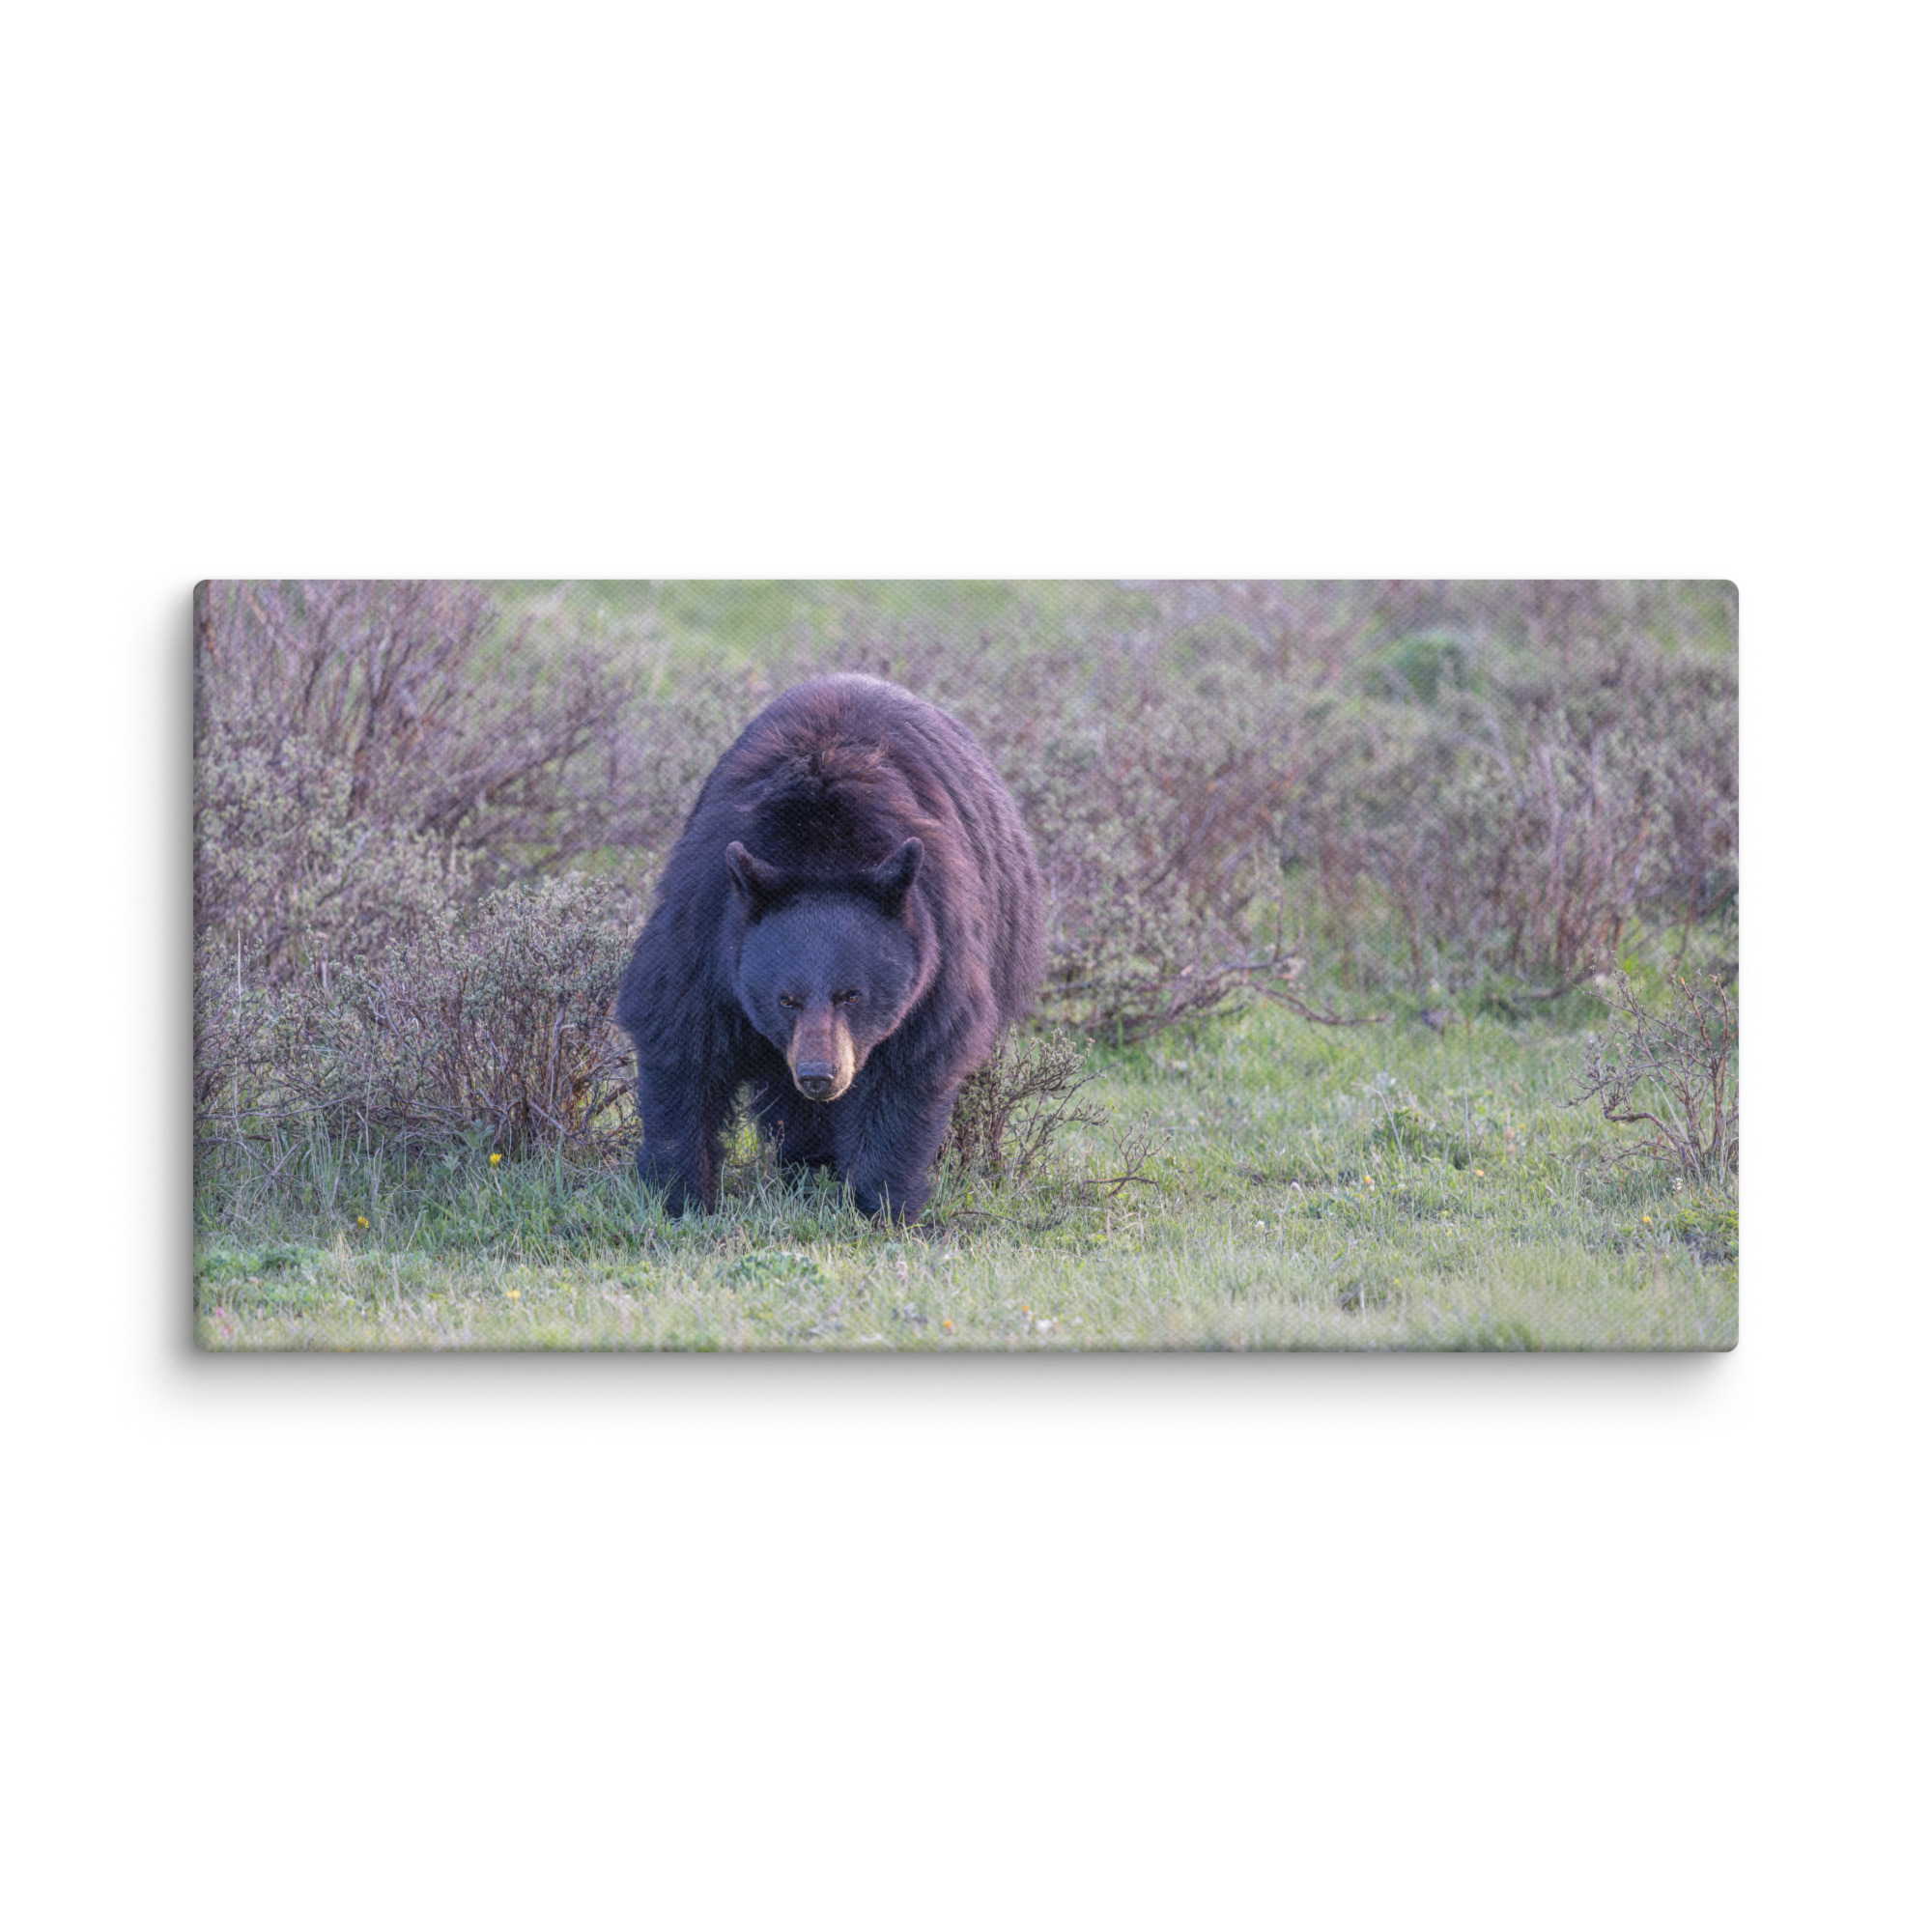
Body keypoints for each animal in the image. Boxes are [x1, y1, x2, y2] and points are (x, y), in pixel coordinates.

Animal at [616, 674, 1046, 1221]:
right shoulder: (707, 924)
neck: (821, 849)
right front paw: (680, 1194)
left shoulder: (938, 944)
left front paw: (882, 1203)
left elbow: (909, 1066)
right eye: (785, 999)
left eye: (852, 995)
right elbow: (681, 1039)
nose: (820, 1076)